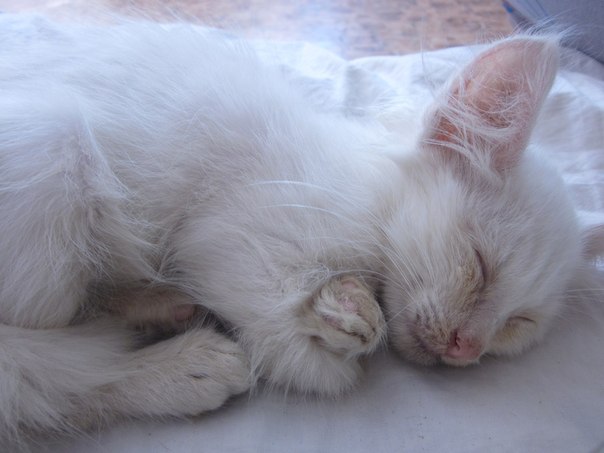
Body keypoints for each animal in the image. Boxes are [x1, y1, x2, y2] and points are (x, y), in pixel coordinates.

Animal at [0, 15, 599, 444]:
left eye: (518, 324)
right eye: (479, 266)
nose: (465, 348)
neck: (368, 185)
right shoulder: (232, 230)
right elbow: (281, 329)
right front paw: (338, 332)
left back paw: (157, 311)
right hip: (53, 146)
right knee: (34, 374)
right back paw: (178, 360)